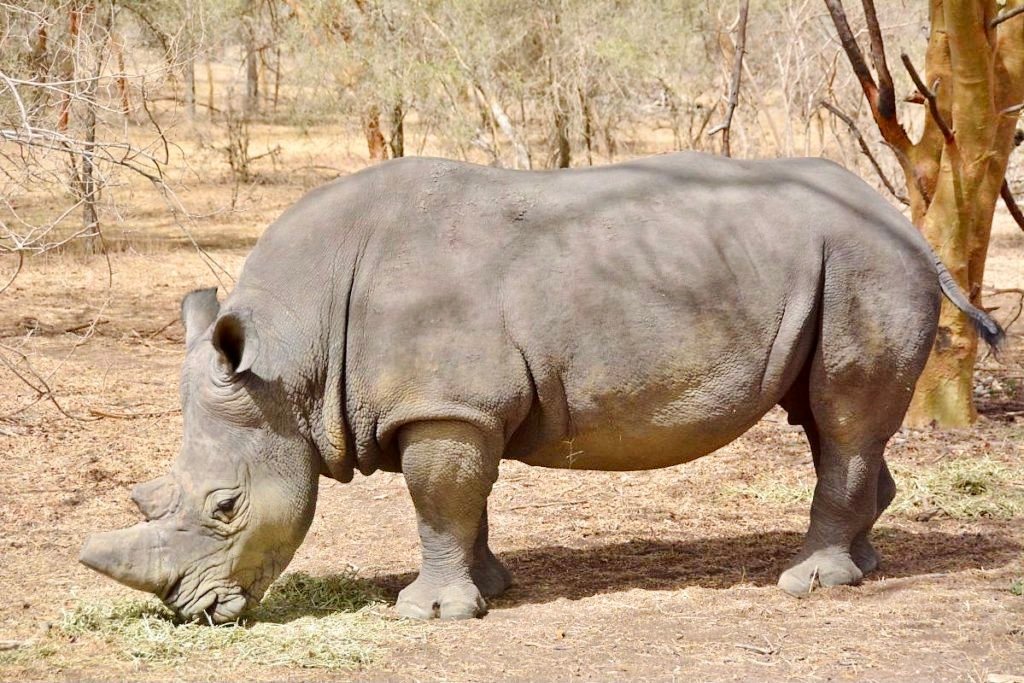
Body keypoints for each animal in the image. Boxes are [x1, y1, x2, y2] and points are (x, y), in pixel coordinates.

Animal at [80, 152, 1002, 621]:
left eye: (225, 507)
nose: (190, 612)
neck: (289, 350)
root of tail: (909, 228)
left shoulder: (444, 408)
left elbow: (438, 502)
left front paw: (431, 614)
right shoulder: (456, 407)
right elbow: (463, 502)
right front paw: (489, 589)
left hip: (864, 264)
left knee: (840, 419)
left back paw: (809, 583)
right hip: (841, 266)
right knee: (829, 419)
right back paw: (865, 566)